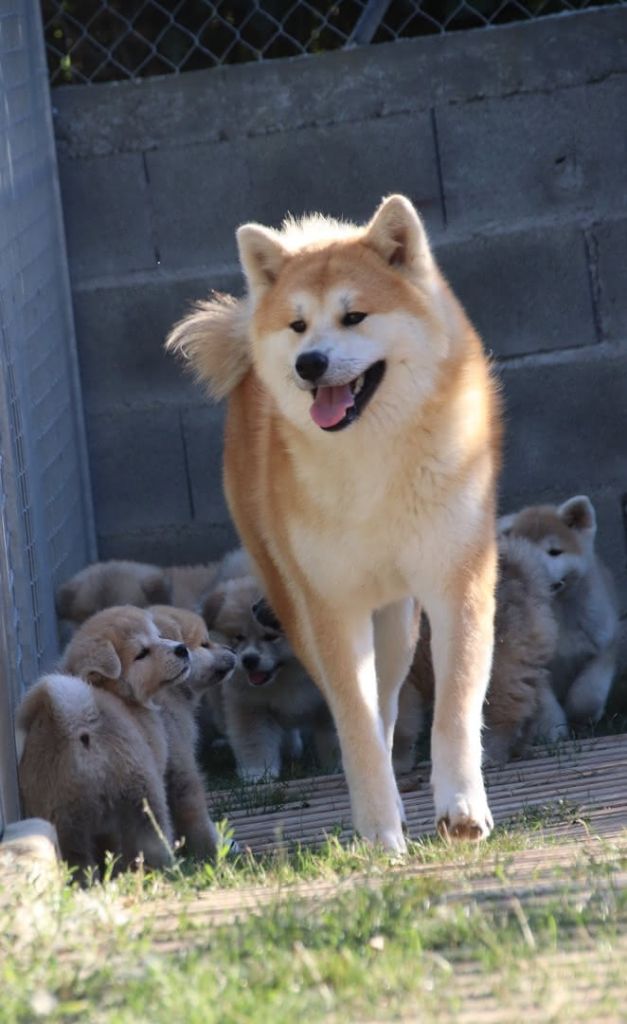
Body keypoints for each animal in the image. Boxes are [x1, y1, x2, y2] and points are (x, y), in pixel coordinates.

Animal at [201, 573, 338, 778]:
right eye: (238, 637)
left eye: (271, 637)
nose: (249, 659)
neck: (287, 678)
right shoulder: (251, 706)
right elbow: (255, 740)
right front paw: (258, 773)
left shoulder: (327, 706)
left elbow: (332, 738)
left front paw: (335, 766)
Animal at [497, 497, 618, 729]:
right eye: (525, 552)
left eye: (554, 552)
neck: (558, 612)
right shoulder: (532, 664)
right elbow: (545, 706)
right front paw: (555, 729)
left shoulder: (603, 647)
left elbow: (587, 695)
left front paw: (584, 717)